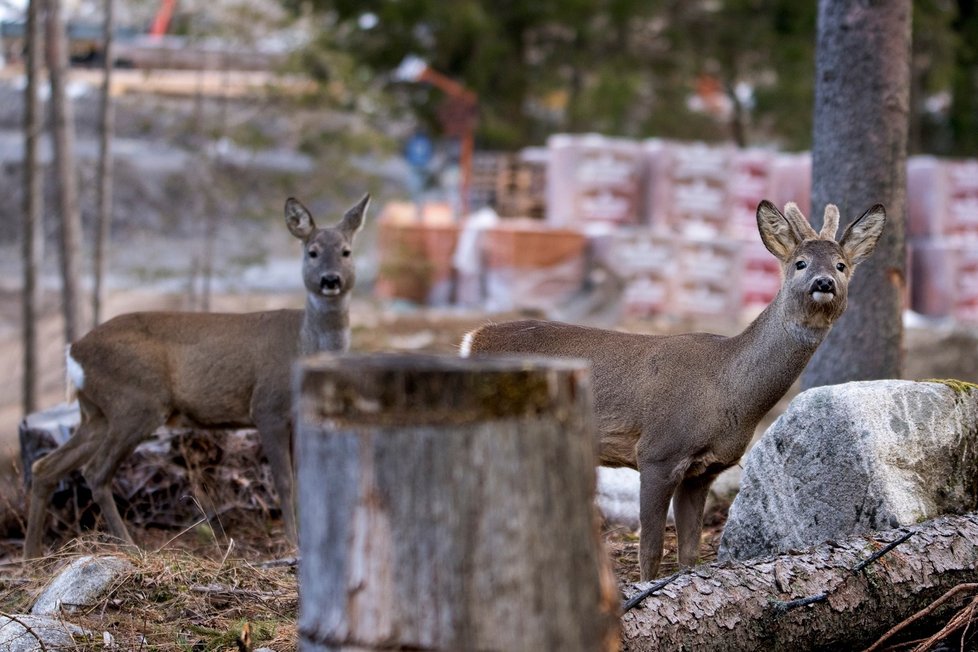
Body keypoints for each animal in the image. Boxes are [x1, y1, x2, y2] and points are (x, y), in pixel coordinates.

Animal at [22, 194, 368, 560]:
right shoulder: (268, 406)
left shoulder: (298, 415)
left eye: (346, 251)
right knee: (96, 472)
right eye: (312, 251)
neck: (304, 344)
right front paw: (292, 544)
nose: (330, 279)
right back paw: (129, 547)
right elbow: (285, 481)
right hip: (136, 401)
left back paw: (32, 555)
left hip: (96, 413)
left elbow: (303, 481)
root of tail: (74, 350)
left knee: (45, 467)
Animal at [462, 201, 888, 580]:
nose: (824, 282)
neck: (727, 390)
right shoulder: (658, 451)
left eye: (841, 265)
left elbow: (690, 552)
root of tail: (473, 338)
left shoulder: (705, 470)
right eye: (800, 263)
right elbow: (650, 551)